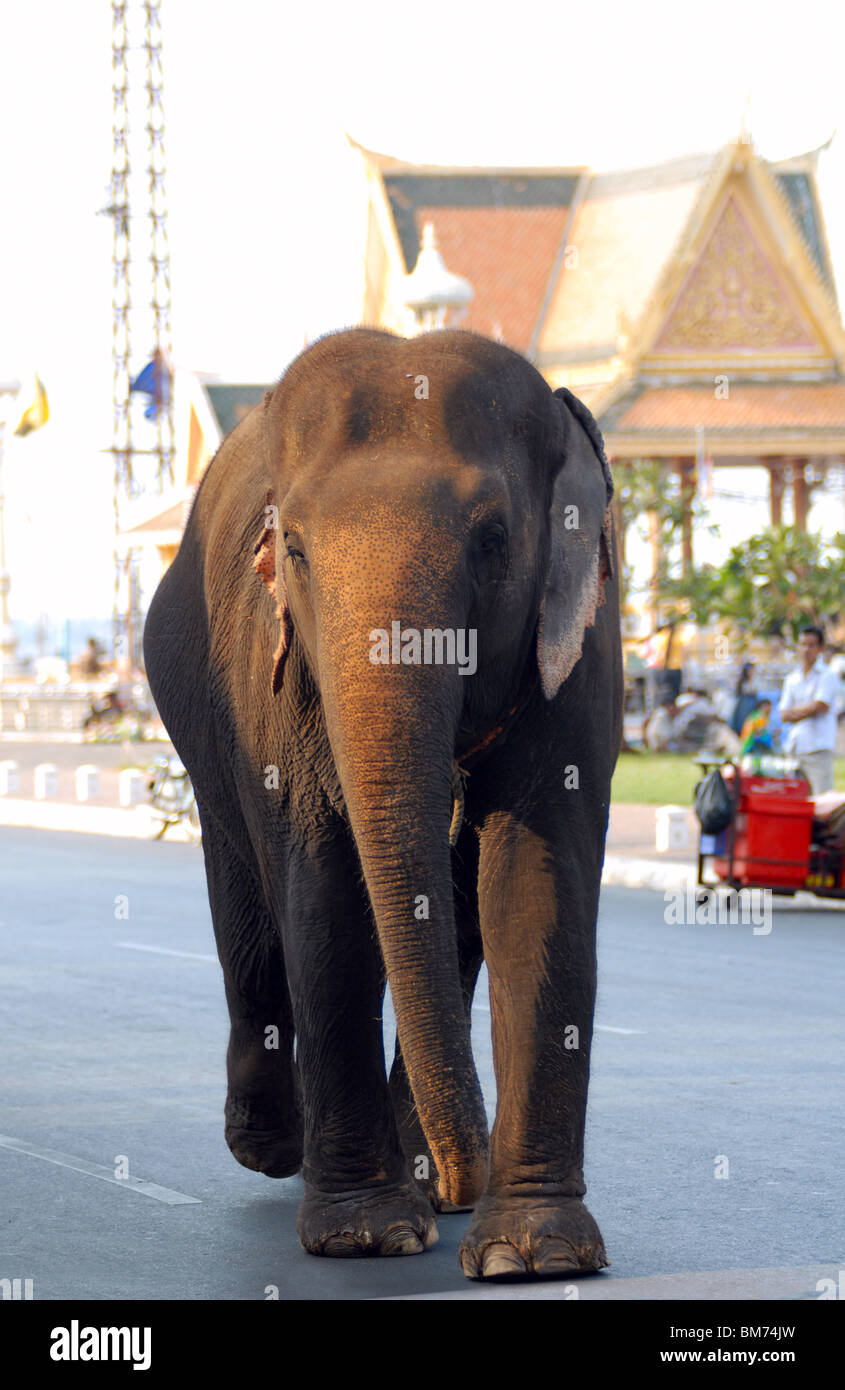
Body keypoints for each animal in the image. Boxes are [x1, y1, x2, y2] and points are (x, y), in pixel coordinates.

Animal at [143, 326, 622, 1280]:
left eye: (493, 538)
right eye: (293, 549)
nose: (462, 1180)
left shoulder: (585, 637)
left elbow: (534, 884)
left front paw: (534, 1253)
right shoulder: (279, 667)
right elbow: (325, 893)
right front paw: (368, 1236)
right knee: (244, 902)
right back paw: (275, 1149)